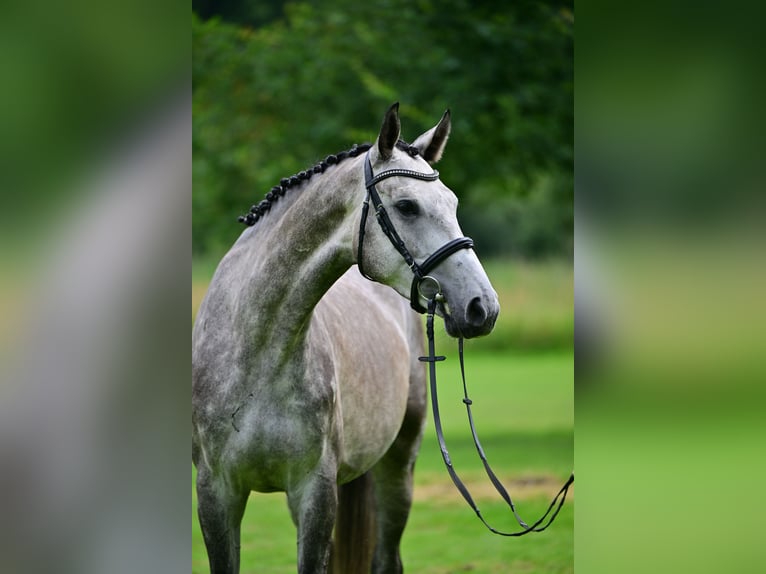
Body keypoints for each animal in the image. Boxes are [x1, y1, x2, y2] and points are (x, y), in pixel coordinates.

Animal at [195, 104, 500, 574]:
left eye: (452, 203)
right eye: (407, 206)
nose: (482, 306)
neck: (255, 356)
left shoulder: (315, 493)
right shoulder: (216, 494)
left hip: (398, 469)